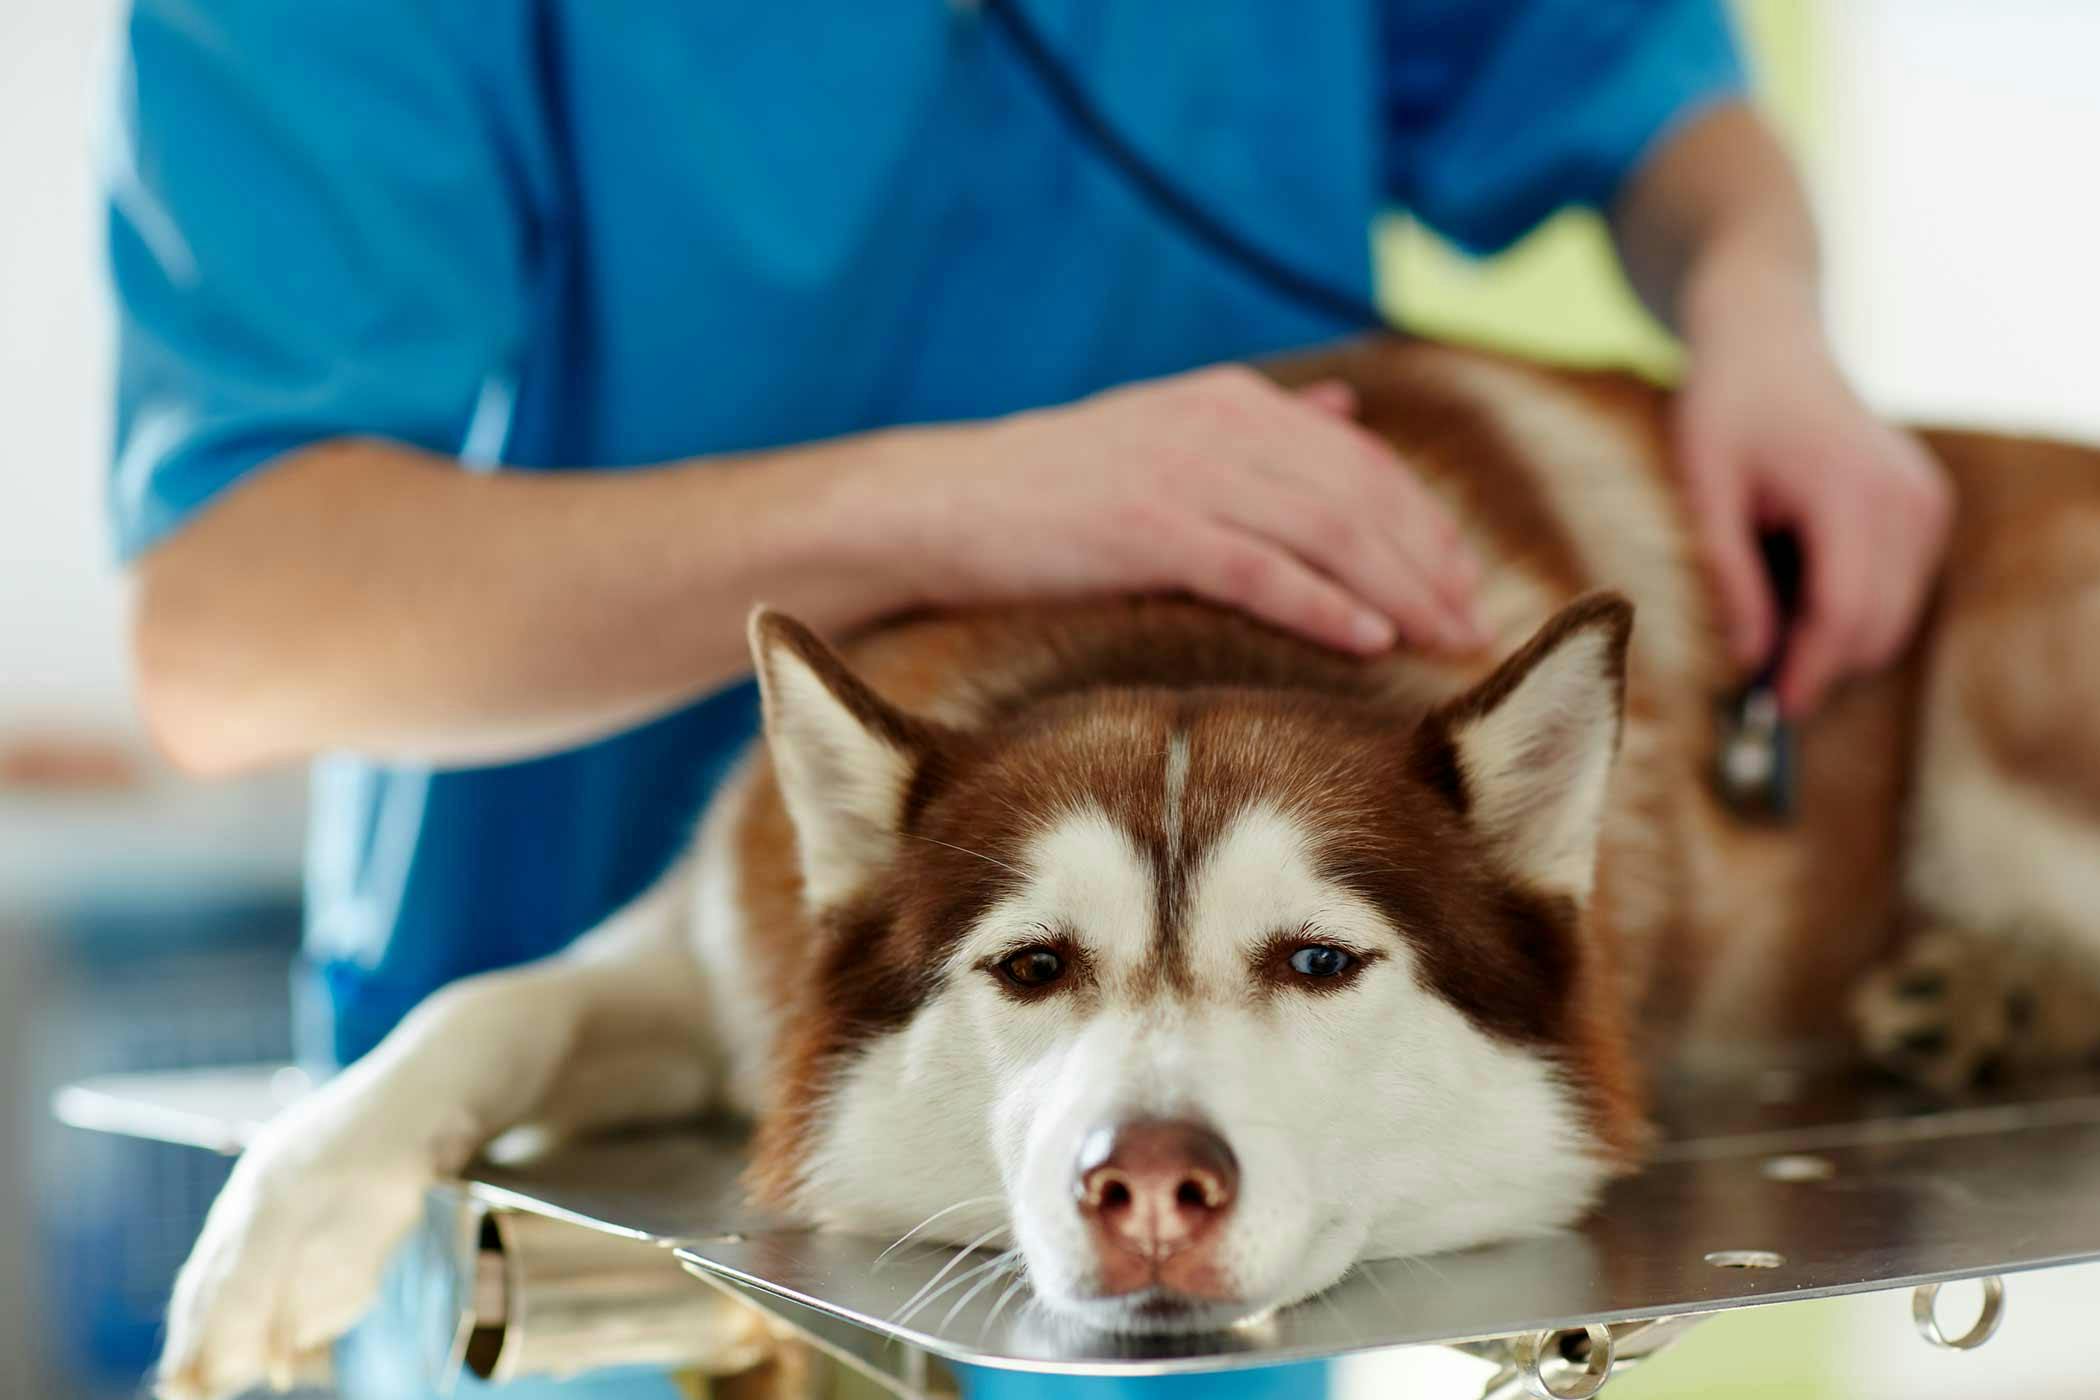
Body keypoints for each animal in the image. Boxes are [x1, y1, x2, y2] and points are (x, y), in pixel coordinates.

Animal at [155, 342, 2100, 1400]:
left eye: (1317, 961)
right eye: (1032, 969)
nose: (1148, 1185)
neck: (1168, 626)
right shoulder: (718, 950)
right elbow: (483, 1005)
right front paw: (279, 1223)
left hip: (2006, 693)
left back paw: (1996, 992)